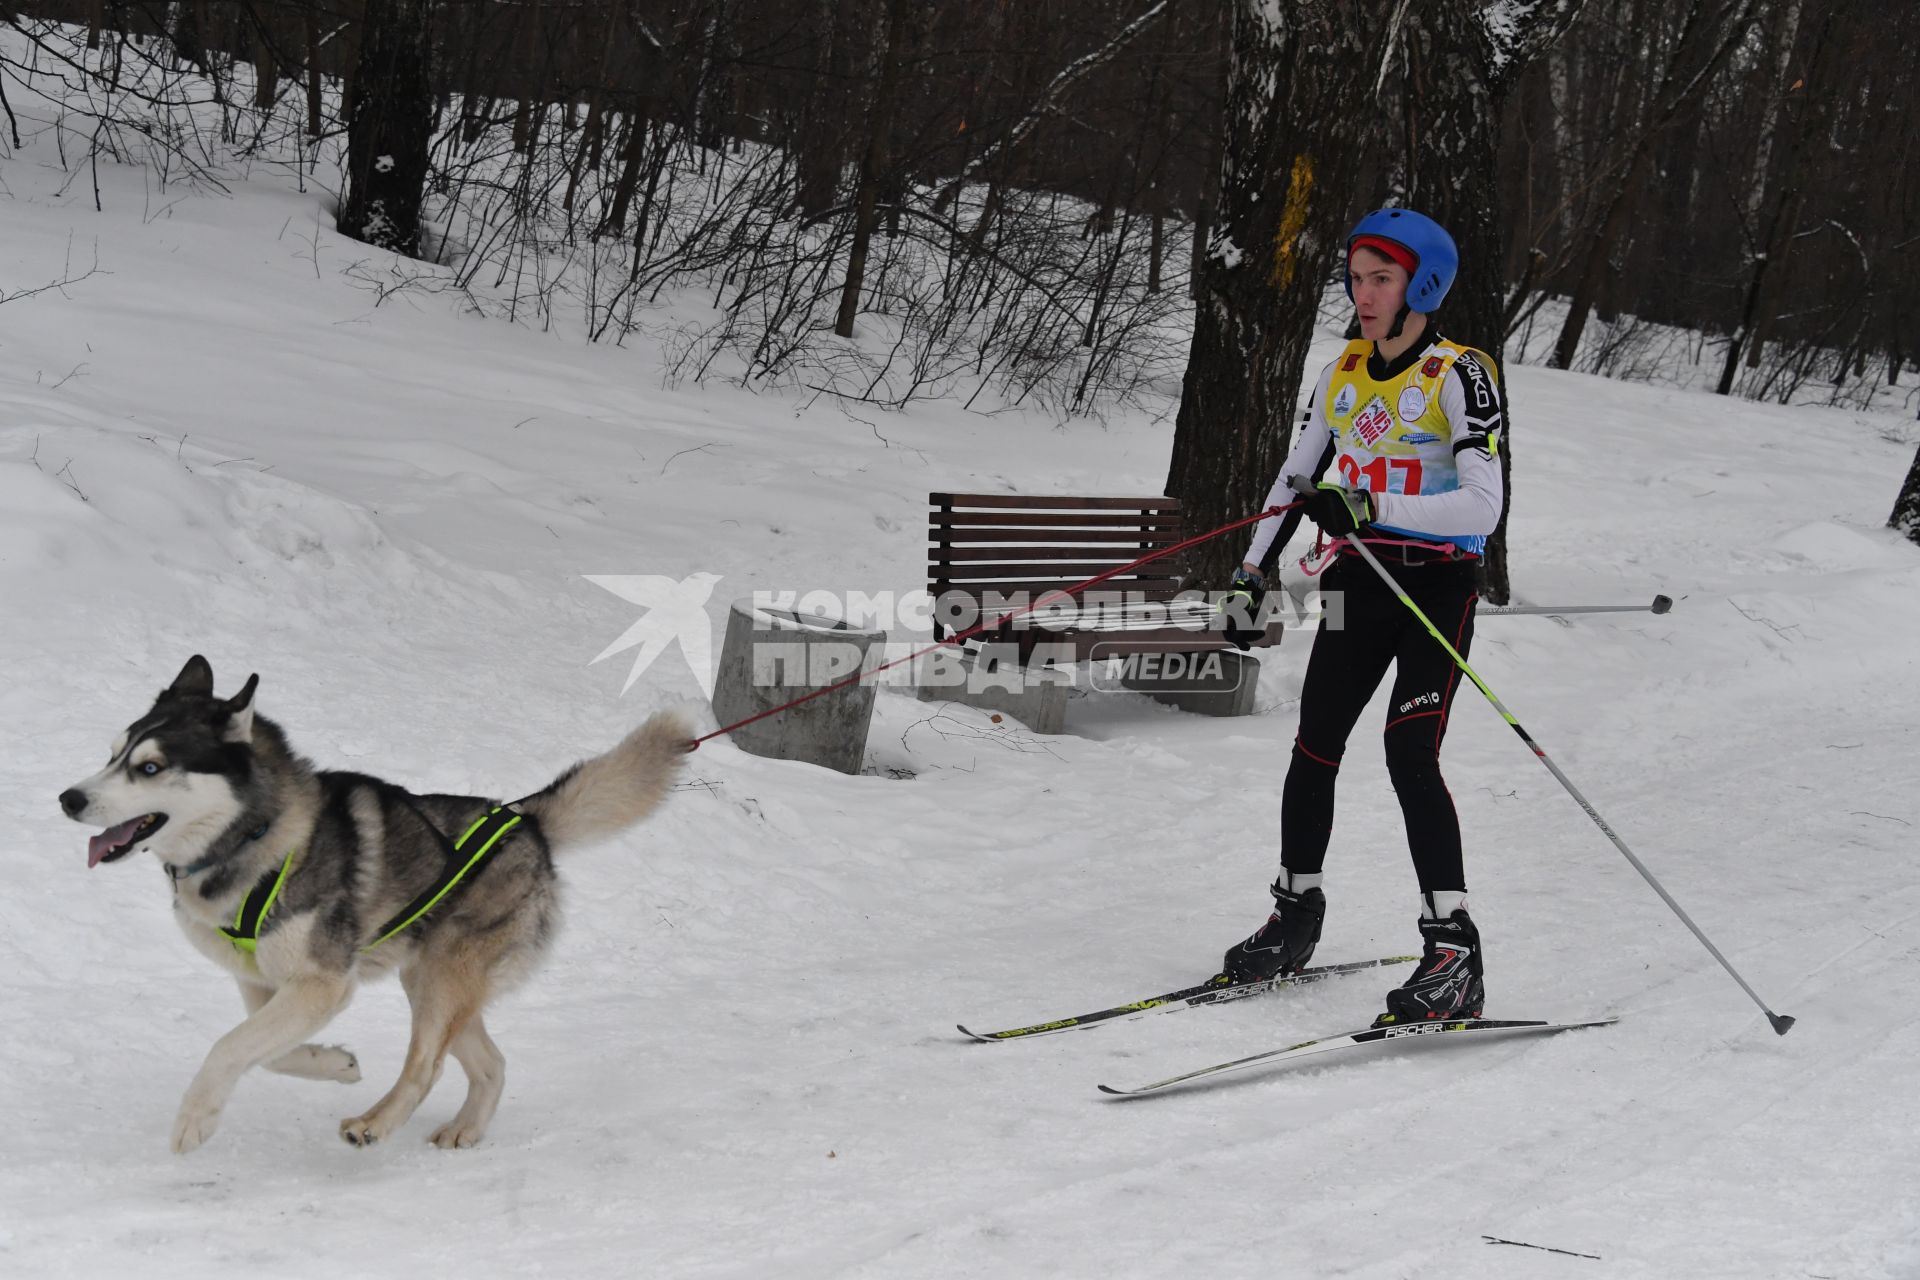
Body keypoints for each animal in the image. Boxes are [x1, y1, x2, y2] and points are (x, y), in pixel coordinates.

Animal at [56, 656, 691, 1159]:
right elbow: (266, 1053)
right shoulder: (265, 984)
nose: (68, 798)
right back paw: (464, 1128)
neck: (254, 838)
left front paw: (195, 1119)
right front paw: (335, 1063)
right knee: (492, 1062)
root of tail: (524, 820)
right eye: (111, 755)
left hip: (440, 978)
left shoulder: (324, 984)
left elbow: (228, 1047)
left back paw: (376, 1123)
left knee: (426, 1066)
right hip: (432, 977)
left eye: (151, 768)